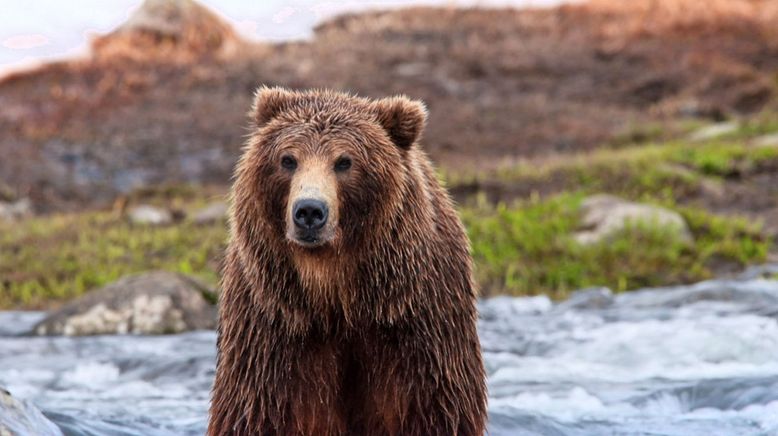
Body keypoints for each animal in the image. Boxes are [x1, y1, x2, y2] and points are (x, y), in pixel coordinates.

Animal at [206, 87, 484, 434]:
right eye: (288, 159)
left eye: (344, 161)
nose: (309, 211)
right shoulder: (271, 332)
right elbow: (257, 411)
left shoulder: (417, 331)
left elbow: (433, 408)